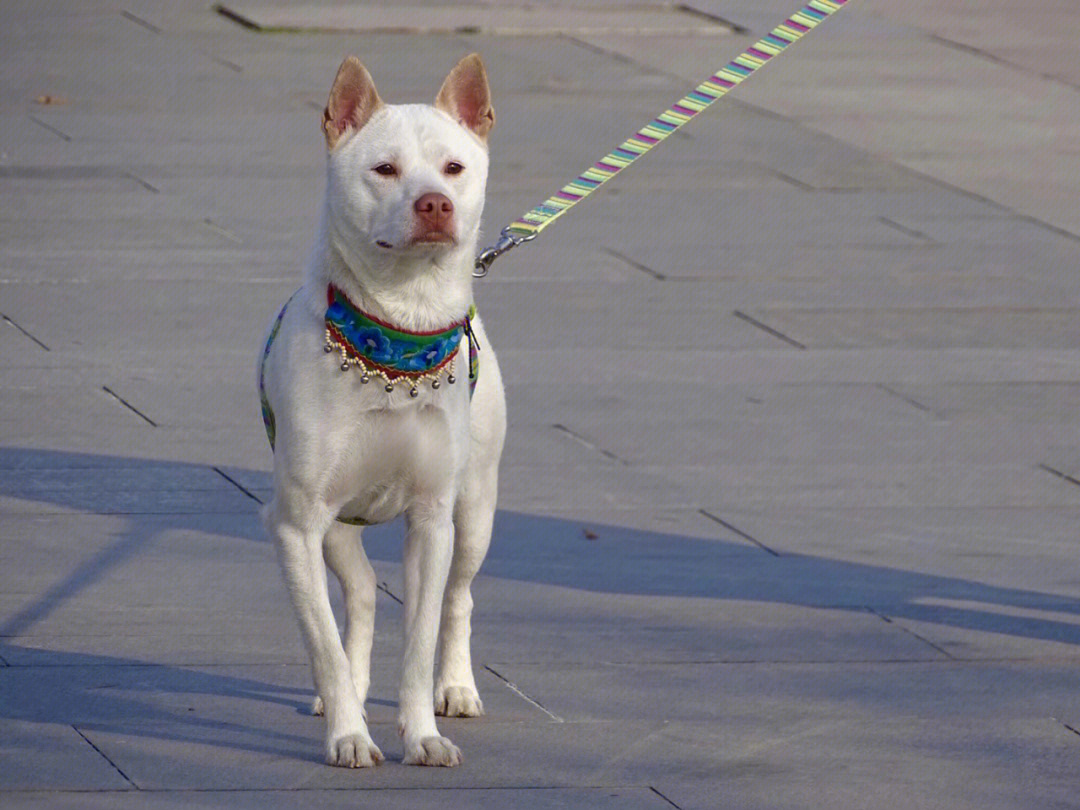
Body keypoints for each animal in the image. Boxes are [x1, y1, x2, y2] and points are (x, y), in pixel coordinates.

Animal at [258, 55, 505, 768]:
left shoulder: (430, 521)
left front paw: (421, 733)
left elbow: (420, 638)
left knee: (459, 597)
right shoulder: (295, 524)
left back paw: (457, 685)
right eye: (385, 169)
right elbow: (324, 641)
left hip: (475, 510)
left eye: (453, 168)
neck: (397, 332)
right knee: (362, 596)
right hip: (335, 524)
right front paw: (348, 731)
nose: (435, 203)